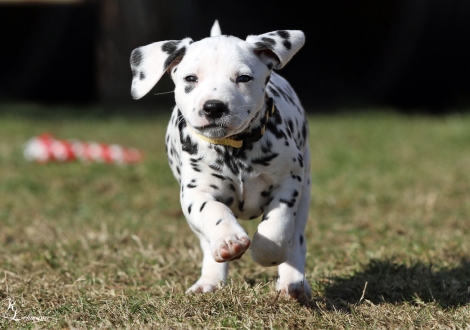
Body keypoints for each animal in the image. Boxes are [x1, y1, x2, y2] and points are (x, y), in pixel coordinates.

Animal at [130, 21, 310, 300]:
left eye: (243, 78)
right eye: (191, 79)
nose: (213, 107)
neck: (234, 150)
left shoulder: (289, 182)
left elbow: (277, 226)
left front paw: (267, 252)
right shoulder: (196, 192)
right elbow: (214, 211)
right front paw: (229, 240)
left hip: (305, 193)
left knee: (297, 238)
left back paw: (292, 282)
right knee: (207, 243)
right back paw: (210, 280)